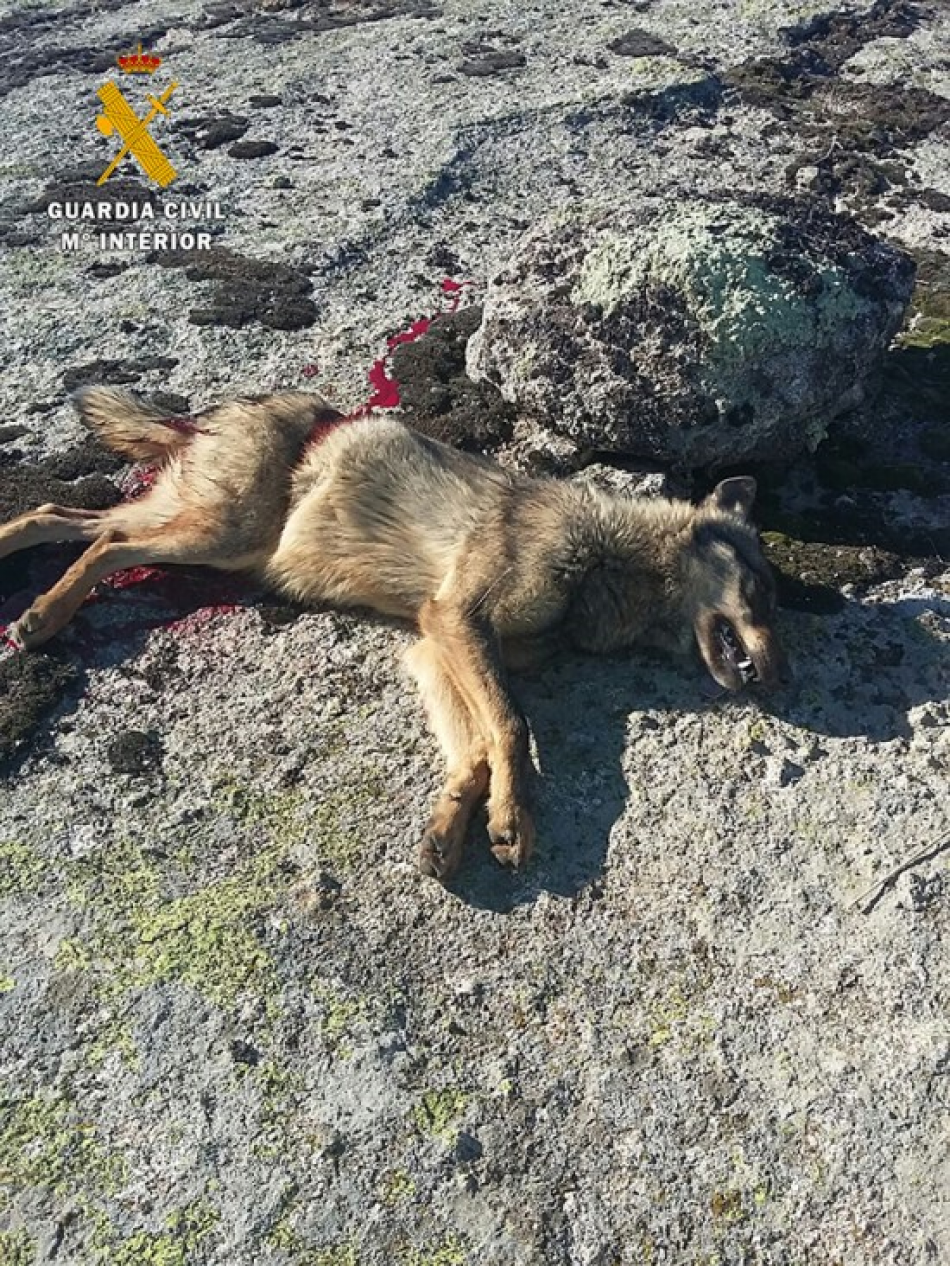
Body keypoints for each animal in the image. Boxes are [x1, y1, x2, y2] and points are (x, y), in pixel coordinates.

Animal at [0, 392, 790, 881]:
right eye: (762, 594)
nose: (786, 680)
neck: (607, 561)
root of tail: (206, 417)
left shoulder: (434, 647)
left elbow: (475, 748)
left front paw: (451, 828)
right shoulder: (457, 623)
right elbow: (511, 730)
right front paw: (513, 818)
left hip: (202, 534)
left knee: (64, 516)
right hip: (219, 538)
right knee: (106, 544)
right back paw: (42, 618)